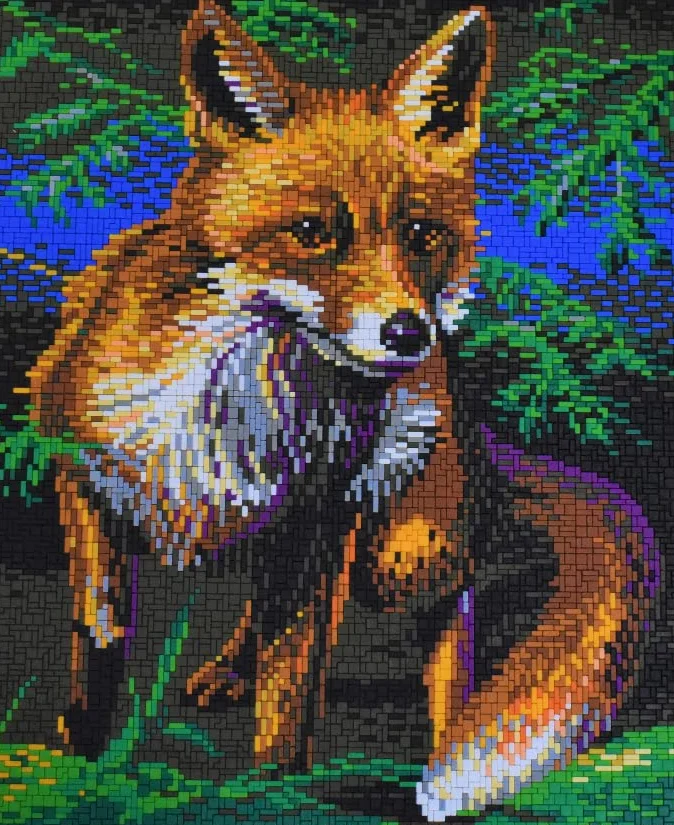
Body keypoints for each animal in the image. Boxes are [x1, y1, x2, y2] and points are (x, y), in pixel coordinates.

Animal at [27, 0, 659, 819]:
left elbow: (291, 692)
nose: (410, 333)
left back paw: (448, 744)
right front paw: (83, 752)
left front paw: (269, 792)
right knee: (281, 611)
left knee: (447, 622)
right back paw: (230, 668)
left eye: (421, 235)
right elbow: (101, 634)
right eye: (311, 232)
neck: (229, 407)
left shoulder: (317, 526)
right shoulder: (86, 485)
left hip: (398, 555)